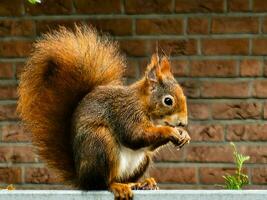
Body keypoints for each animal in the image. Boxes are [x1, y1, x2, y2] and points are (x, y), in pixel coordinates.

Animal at [17, 25, 191, 199]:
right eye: (168, 101)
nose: (183, 123)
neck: (143, 104)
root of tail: (81, 178)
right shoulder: (126, 113)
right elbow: (135, 136)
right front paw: (170, 131)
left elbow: (147, 145)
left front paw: (184, 134)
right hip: (100, 142)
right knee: (101, 183)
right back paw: (117, 186)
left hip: (142, 160)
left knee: (127, 176)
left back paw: (141, 183)